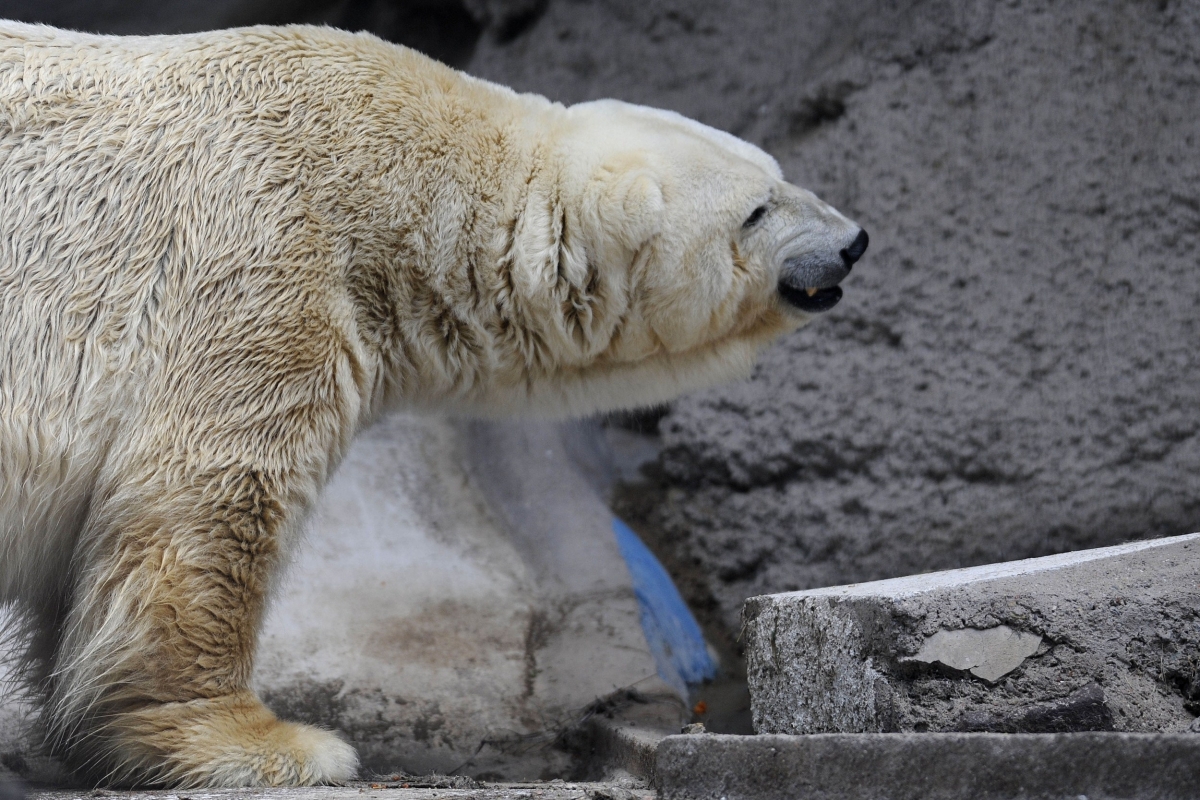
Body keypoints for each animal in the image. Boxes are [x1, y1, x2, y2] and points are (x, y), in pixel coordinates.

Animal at [0, 21, 864, 791]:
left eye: (780, 172)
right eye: (757, 209)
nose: (853, 241)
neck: (396, 184)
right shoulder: (263, 260)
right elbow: (206, 496)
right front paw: (261, 745)